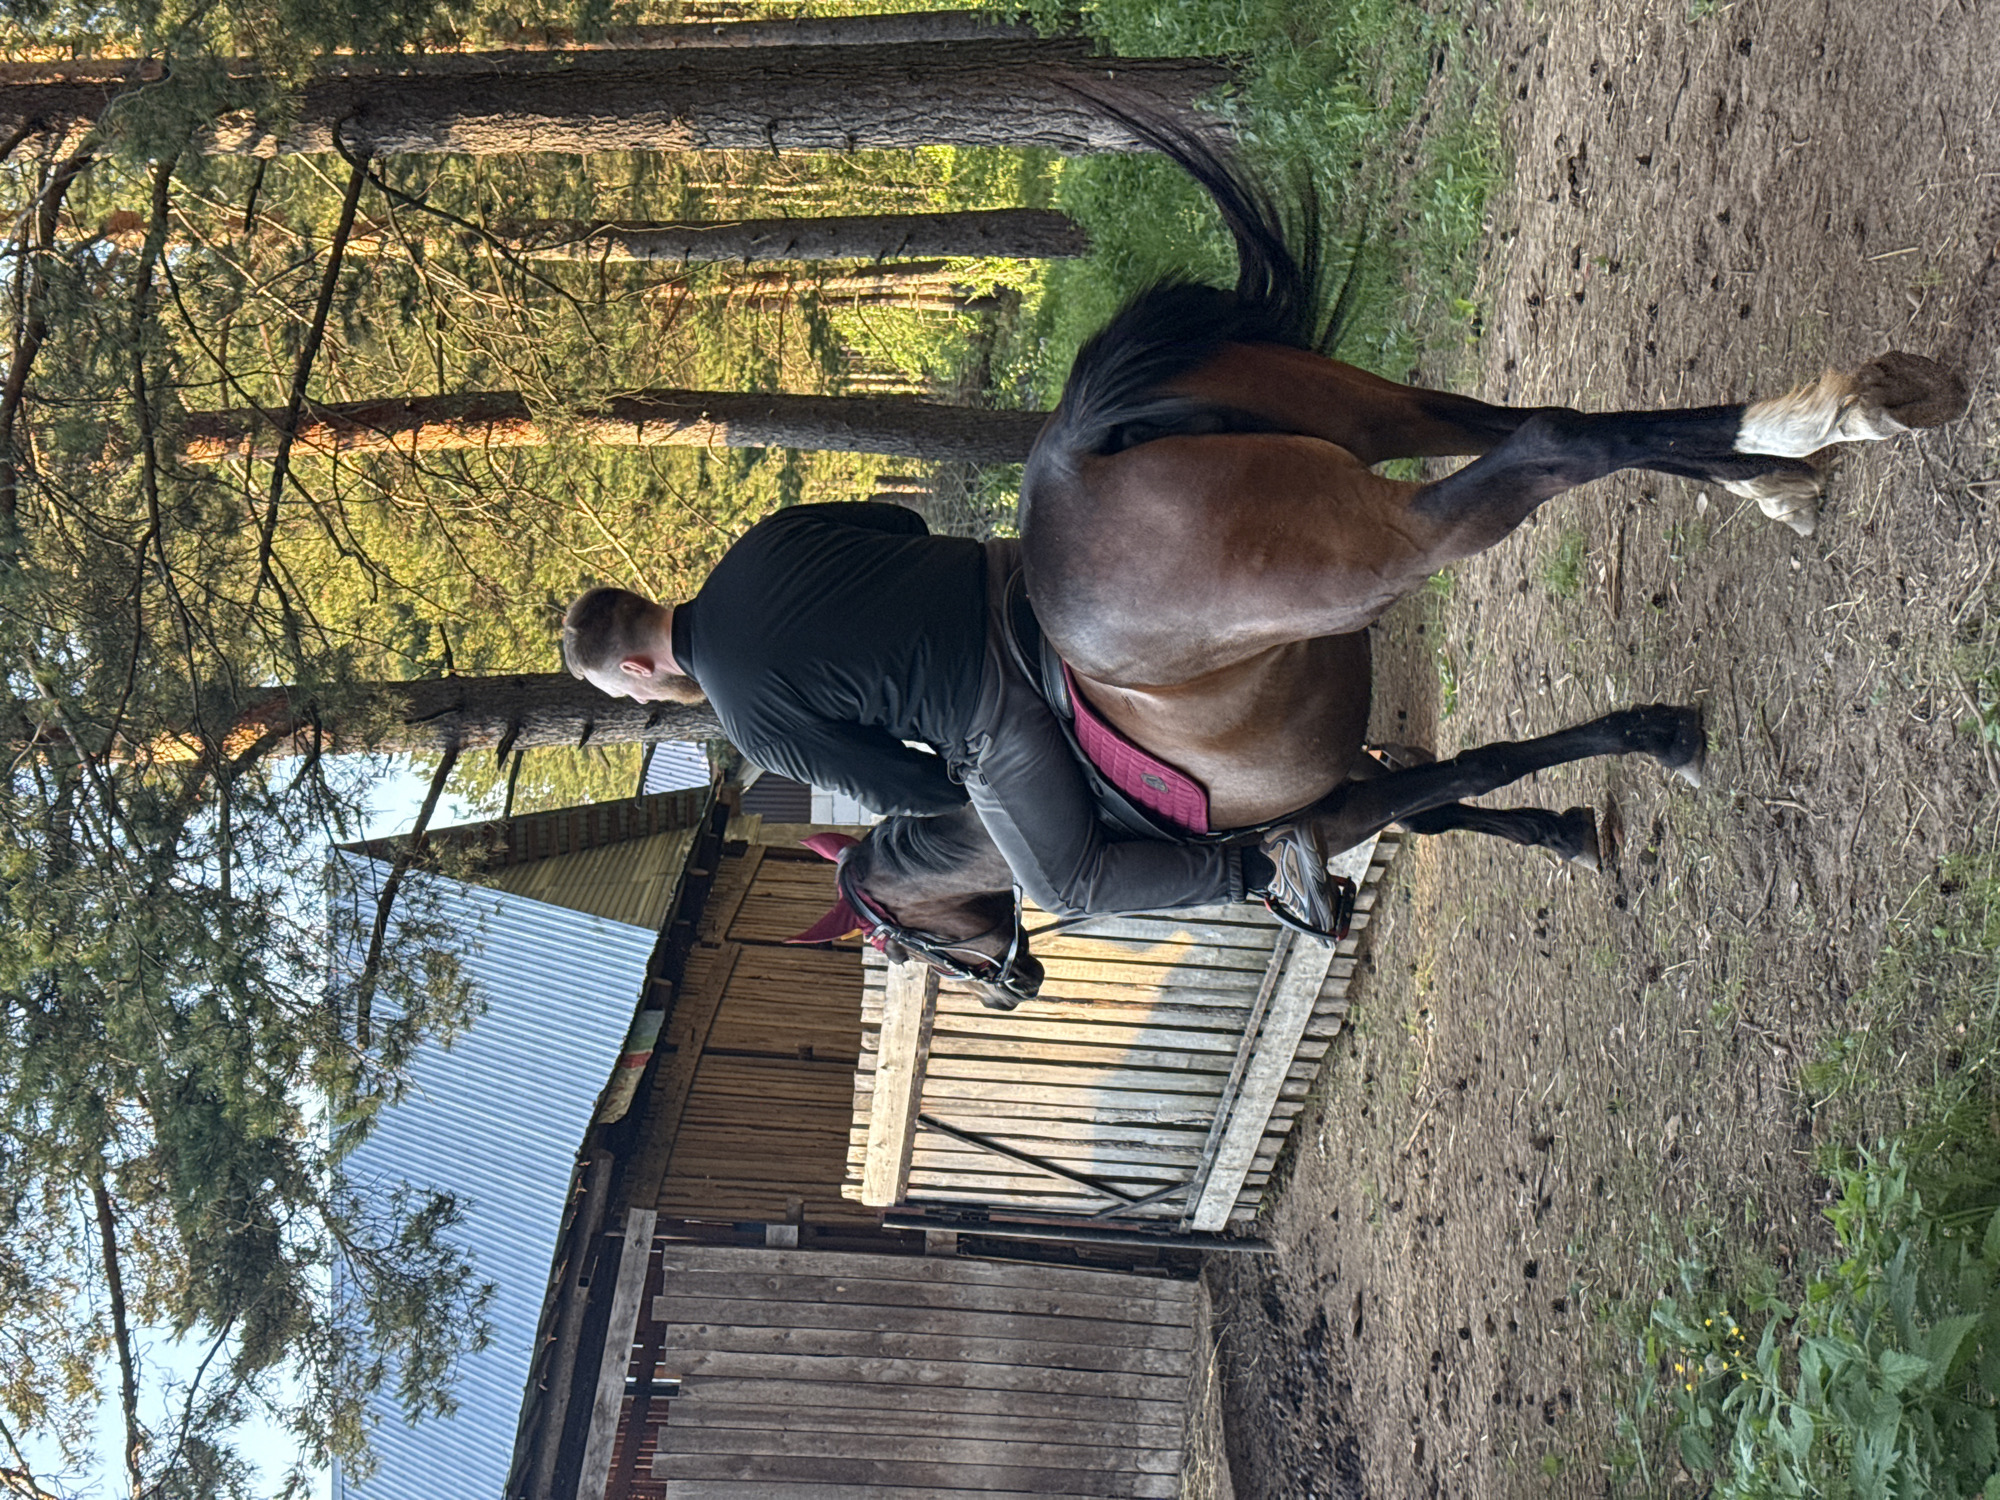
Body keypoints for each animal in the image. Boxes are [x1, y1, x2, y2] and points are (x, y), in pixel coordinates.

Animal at [795, 106, 1968, 1009]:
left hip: (1386, 543)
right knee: (1544, 424)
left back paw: (1824, 424)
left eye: (904, 945)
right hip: (1380, 414)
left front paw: (1649, 740)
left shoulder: (1329, 807)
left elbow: (1468, 774)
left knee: (1549, 443)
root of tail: (1079, 452)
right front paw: (1566, 824)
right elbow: (1443, 802)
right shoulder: (1338, 779)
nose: (1011, 986)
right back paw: (1794, 450)